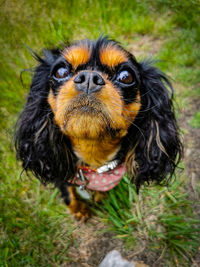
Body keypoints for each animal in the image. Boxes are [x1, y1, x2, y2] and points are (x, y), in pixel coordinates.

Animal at [14, 36, 183, 221]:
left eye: (126, 76)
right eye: (60, 72)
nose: (89, 77)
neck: (92, 156)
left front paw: (99, 198)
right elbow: (67, 190)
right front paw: (78, 210)